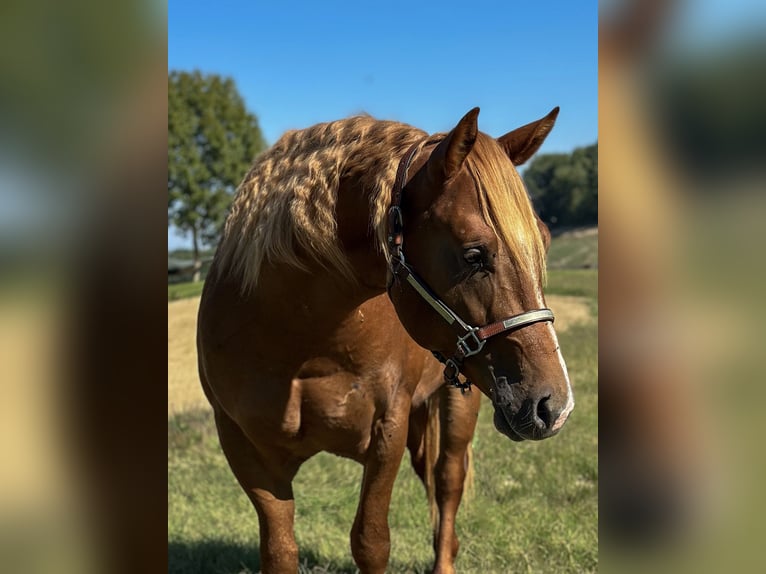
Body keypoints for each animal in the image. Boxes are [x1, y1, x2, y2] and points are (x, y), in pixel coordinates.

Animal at [197, 107, 574, 573]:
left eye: (544, 238)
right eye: (473, 254)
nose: (555, 406)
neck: (301, 346)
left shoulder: (386, 430)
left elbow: (371, 542)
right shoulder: (245, 450)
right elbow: (280, 551)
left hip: (459, 400)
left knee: (448, 482)